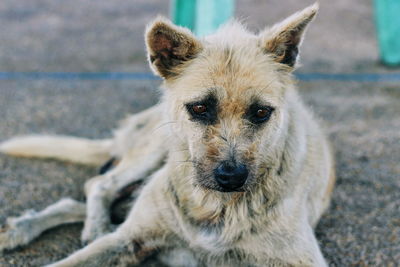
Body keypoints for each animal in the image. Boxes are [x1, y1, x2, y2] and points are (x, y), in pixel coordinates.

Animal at [0, 3, 334, 266]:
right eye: (199, 108)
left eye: (262, 112)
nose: (231, 178)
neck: (214, 206)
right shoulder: (129, 238)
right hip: (152, 151)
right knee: (99, 184)